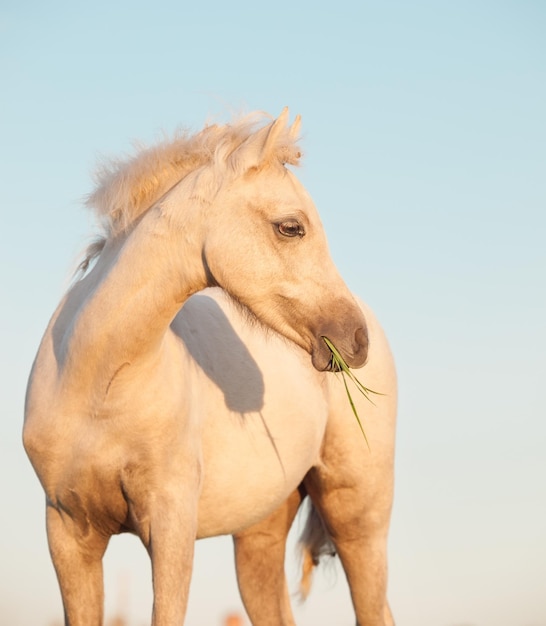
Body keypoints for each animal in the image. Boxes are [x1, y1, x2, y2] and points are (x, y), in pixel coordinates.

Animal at [23, 109, 396, 620]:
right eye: (291, 227)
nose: (355, 341)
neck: (96, 383)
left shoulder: (171, 527)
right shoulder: (67, 532)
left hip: (358, 521)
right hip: (259, 535)